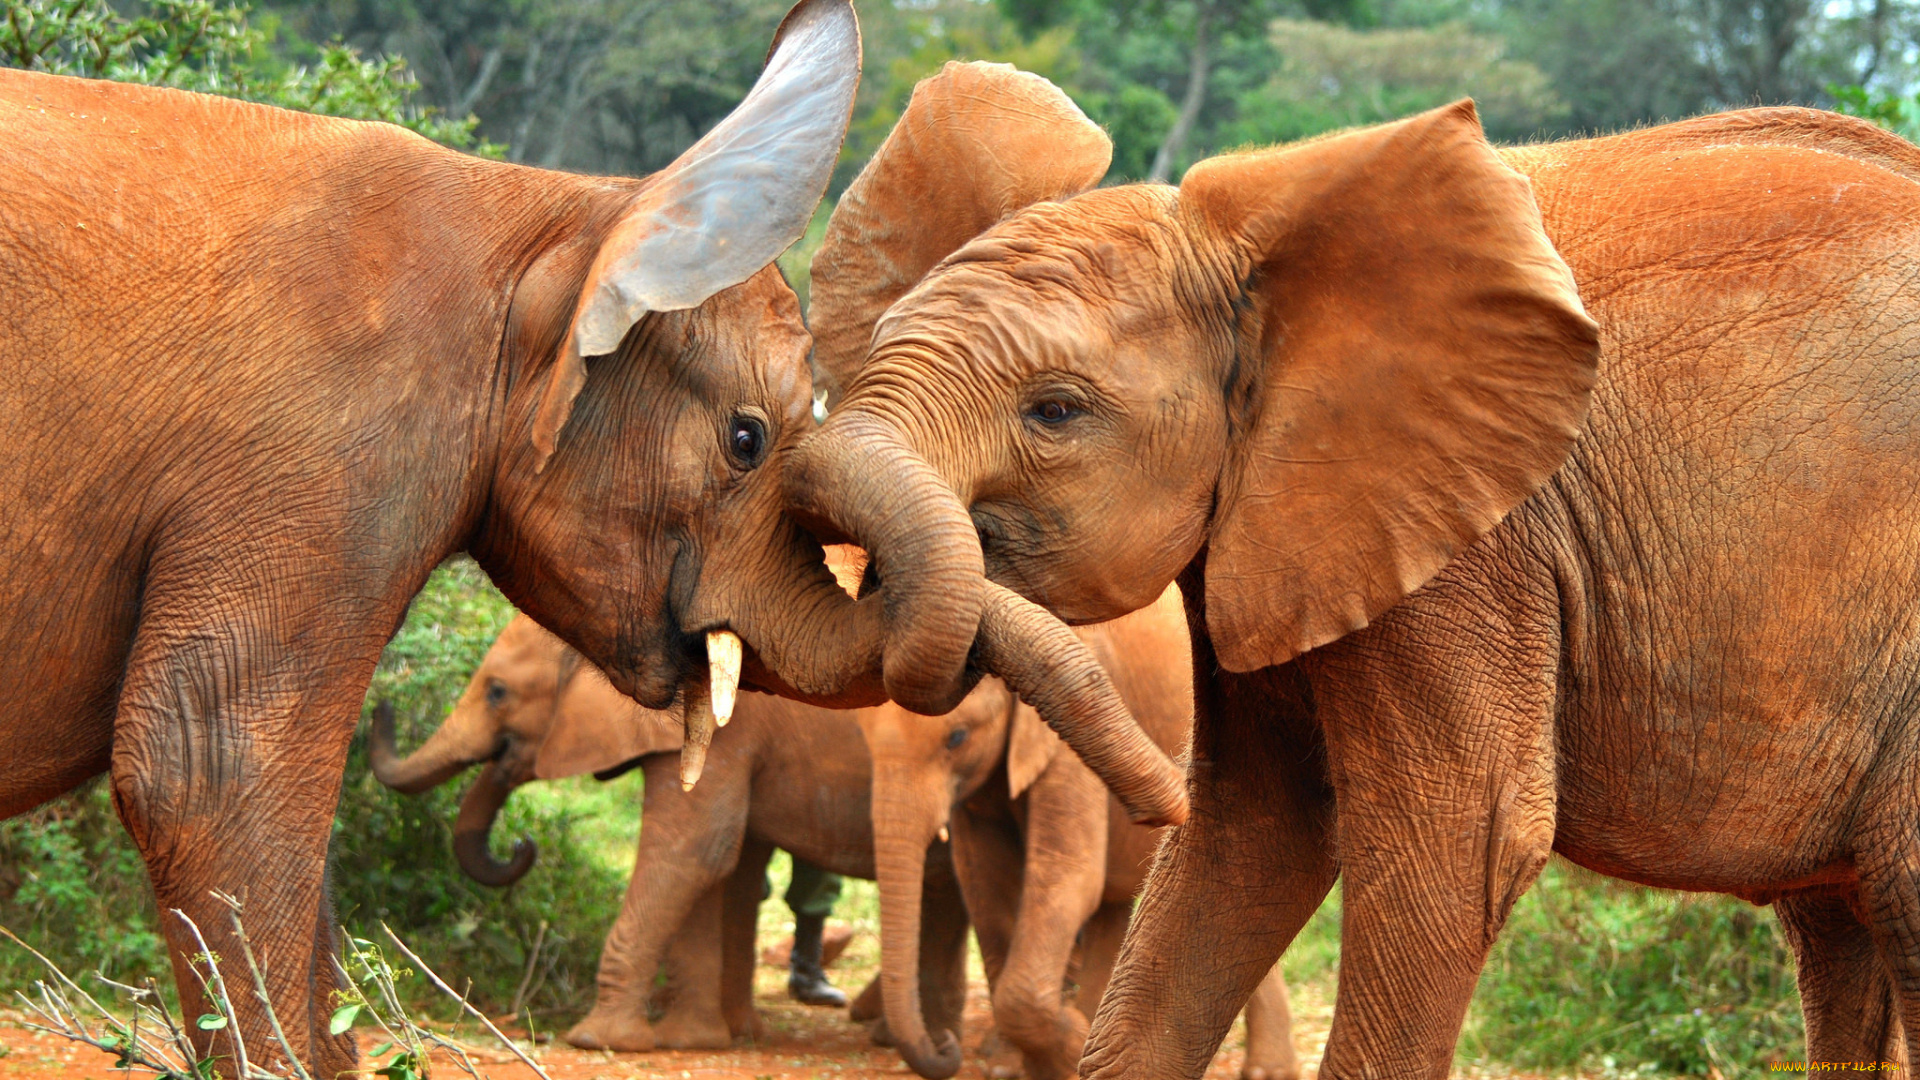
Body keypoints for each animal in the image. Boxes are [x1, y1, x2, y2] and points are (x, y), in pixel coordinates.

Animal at [370, 607, 975, 1053]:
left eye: (497, 692)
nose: (522, 844)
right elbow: (723, 867)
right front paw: (704, 1040)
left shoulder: (727, 726)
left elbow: (694, 850)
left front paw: (601, 1041)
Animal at [864, 580, 1297, 1076]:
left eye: (957, 738)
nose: (945, 1046)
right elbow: (985, 883)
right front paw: (1011, 1064)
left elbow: (1067, 874)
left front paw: (1065, 1051)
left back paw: (1267, 1070)